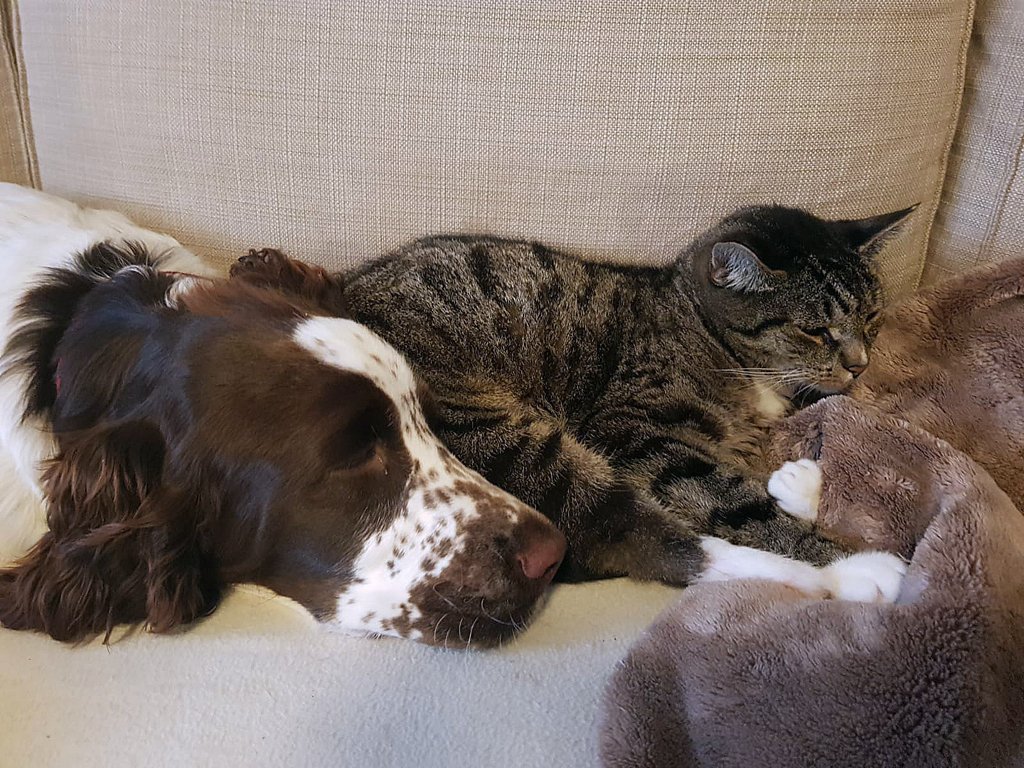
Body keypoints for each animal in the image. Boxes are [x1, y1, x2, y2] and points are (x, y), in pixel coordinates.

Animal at [230, 204, 915, 600]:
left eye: (872, 317)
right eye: (817, 330)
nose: (860, 364)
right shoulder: (641, 432)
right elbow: (737, 503)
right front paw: (825, 542)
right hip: (512, 440)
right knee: (638, 539)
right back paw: (858, 575)